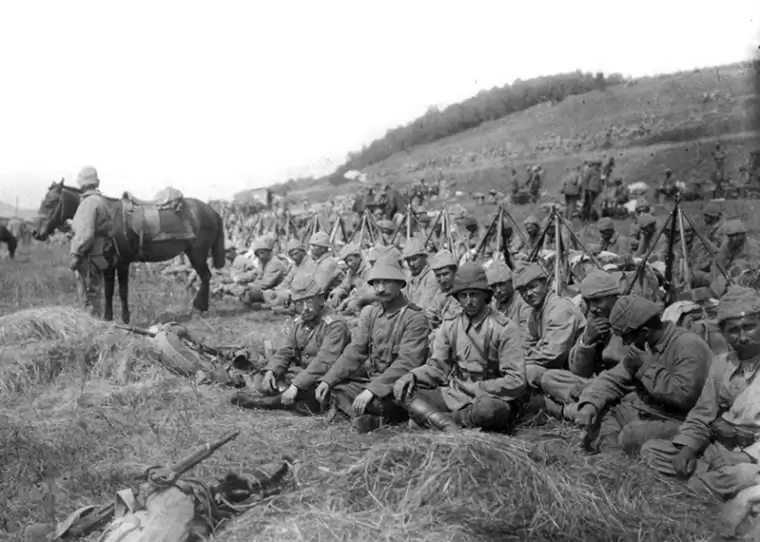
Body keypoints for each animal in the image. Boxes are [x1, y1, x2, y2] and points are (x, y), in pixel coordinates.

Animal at [33, 181, 223, 326]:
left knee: (205, 276)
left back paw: (200, 308)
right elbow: (109, 291)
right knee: (206, 277)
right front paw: (108, 318)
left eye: (50, 202)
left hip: (197, 254)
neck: (109, 216)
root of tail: (212, 211)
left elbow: (123, 291)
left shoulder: (123, 263)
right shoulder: (108, 265)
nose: (35, 232)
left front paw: (125, 319)